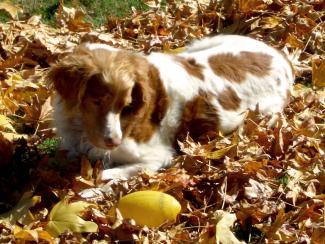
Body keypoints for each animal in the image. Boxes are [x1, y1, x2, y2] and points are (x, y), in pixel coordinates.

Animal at [48, 34, 294, 179]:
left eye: (125, 105)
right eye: (97, 101)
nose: (114, 141)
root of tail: (284, 59)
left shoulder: (159, 156)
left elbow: (111, 174)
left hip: (263, 114)